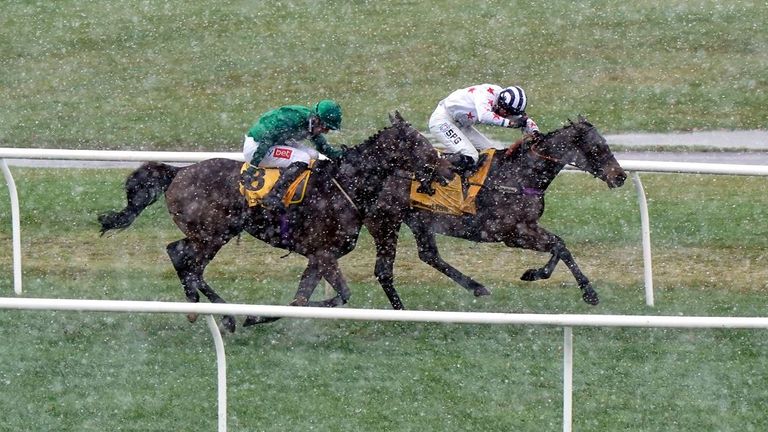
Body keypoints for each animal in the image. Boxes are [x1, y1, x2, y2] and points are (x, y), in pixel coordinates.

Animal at [98, 112, 452, 330]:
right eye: (420, 144)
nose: (448, 170)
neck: (345, 185)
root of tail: (178, 172)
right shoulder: (324, 253)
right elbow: (334, 296)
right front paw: (254, 318)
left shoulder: (319, 256)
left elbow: (305, 298)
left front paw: (259, 318)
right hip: (212, 234)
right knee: (189, 264)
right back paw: (222, 315)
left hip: (213, 233)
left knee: (180, 255)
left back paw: (206, 308)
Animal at [364, 116, 624, 308]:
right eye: (598, 147)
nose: (620, 176)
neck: (521, 175)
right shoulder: (512, 233)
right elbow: (559, 245)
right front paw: (586, 292)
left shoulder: (528, 227)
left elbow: (560, 245)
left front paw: (537, 274)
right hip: (386, 222)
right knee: (384, 271)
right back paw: (402, 310)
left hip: (419, 220)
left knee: (429, 255)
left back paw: (477, 287)